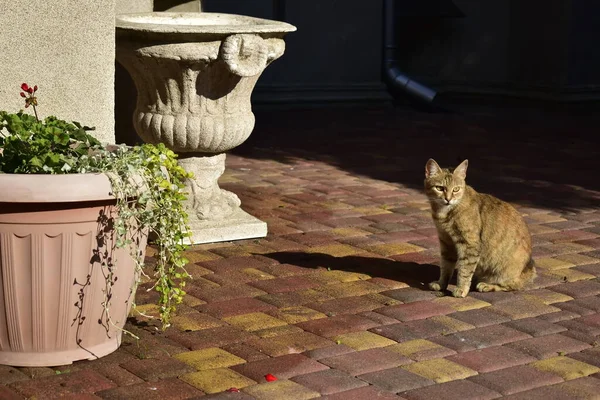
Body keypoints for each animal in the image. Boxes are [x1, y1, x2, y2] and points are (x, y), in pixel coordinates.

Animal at [424, 159, 536, 296]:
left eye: (456, 189)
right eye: (440, 188)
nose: (448, 199)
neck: (444, 213)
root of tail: (529, 269)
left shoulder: (470, 244)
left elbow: (465, 270)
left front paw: (461, 289)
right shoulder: (446, 241)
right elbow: (446, 266)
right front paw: (441, 284)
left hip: (505, 270)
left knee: (512, 285)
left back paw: (487, 285)